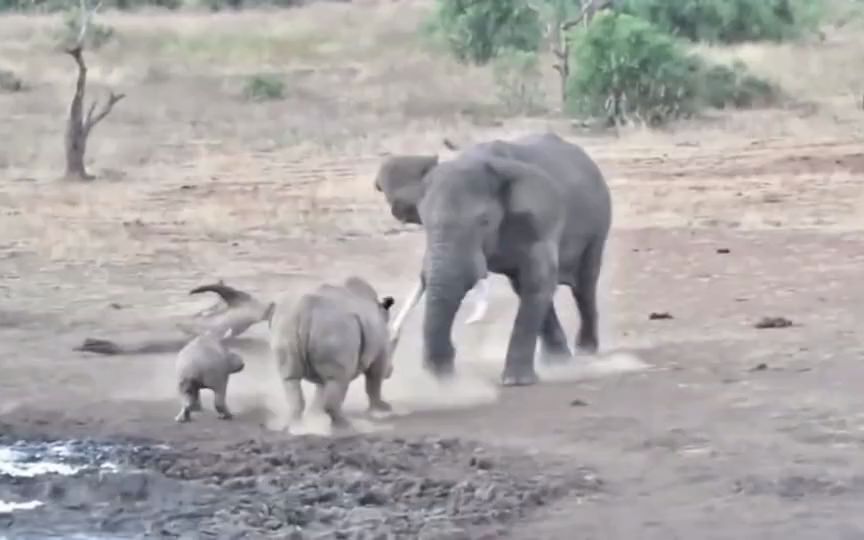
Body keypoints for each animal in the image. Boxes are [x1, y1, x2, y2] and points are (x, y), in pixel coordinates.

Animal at [374, 130, 612, 384]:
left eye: (484, 222)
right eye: (424, 222)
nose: (442, 373)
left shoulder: (542, 221)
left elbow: (539, 278)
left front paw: (516, 382)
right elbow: (534, 284)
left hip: (599, 224)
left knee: (584, 285)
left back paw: (584, 352)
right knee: (525, 287)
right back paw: (558, 362)